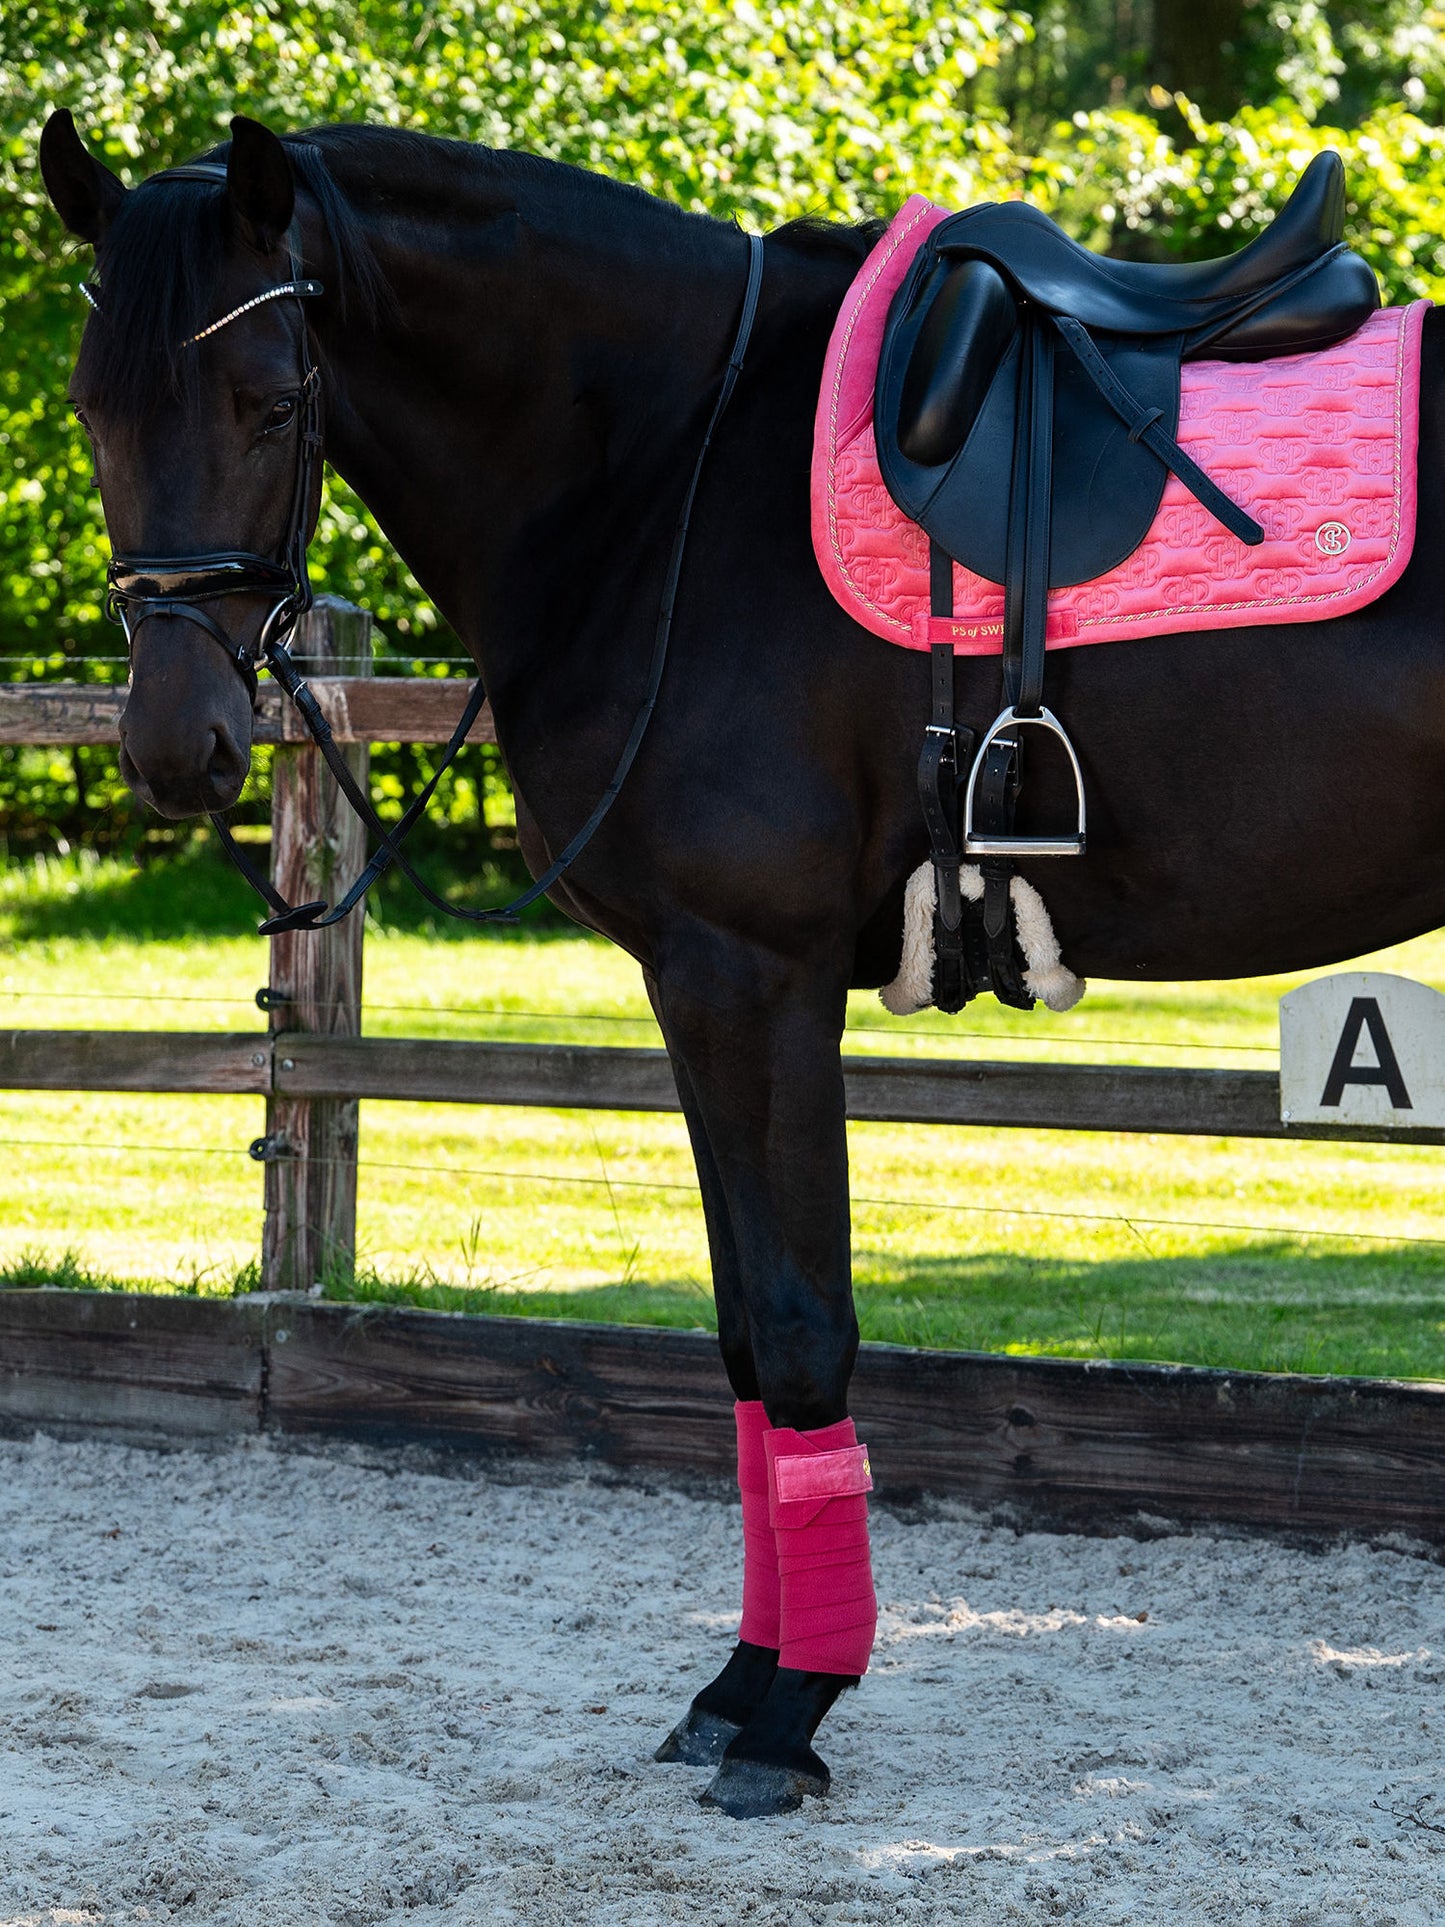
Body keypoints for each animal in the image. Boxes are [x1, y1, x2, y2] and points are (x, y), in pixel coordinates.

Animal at [39, 109, 1445, 1819]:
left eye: (272, 398)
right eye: (94, 406)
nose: (176, 749)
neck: (661, 475)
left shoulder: (750, 974)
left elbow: (797, 1325)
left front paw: (791, 1710)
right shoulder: (692, 985)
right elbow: (738, 1339)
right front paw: (739, 1685)